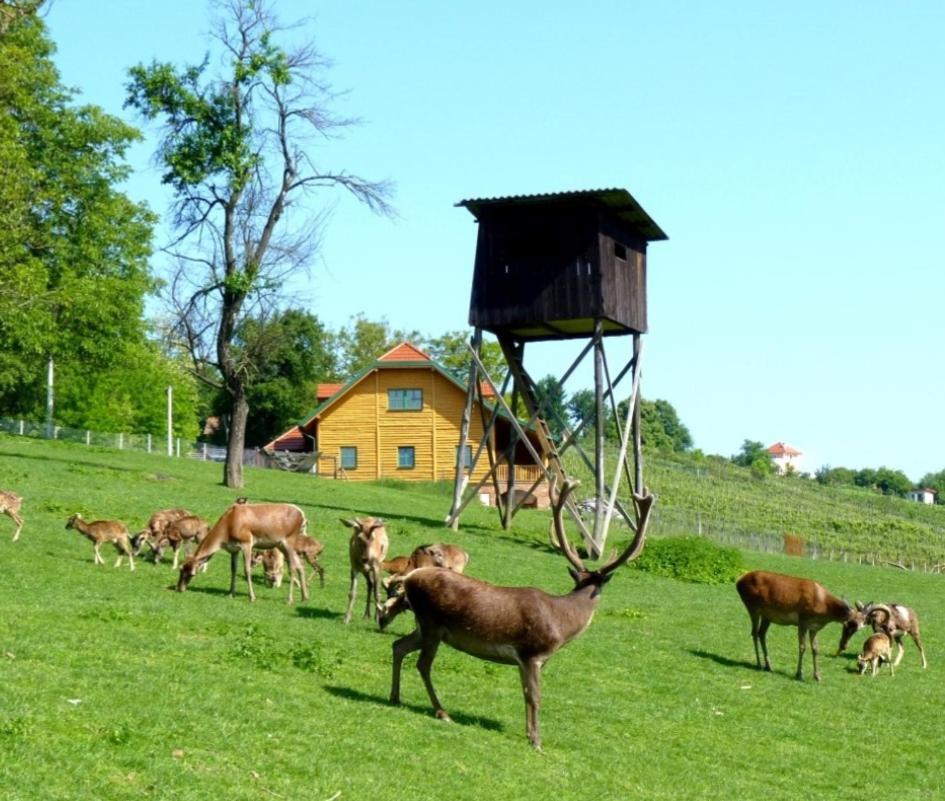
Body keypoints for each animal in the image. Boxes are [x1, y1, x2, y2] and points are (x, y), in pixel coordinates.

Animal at [177, 504, 310, 604]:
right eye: (180, 569)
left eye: (192, 574)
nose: (179, 588)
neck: (227, 529)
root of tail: (303, 516)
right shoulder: (234, 549)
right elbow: (233, 569)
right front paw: (231, 593)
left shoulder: (247, 542)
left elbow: (247, 570)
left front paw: (252, 597)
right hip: (282, 545)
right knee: (300, 565)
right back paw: (305, 597)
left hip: (289, 541)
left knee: (292, 567)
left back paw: (290, 599)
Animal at [388, 482, 652, 752]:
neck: (562, 624)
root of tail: (409, 578)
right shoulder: (532, 653)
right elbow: (535, 696)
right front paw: (537, 741)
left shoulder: (524, 660)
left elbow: (524, 692)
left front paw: (528, 733)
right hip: (431, 622)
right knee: (422, 664)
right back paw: (442, 712)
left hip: (425, 627)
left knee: (398, 645)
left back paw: (395, 697)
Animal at [732, 568, 860, 680]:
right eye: (846, 624)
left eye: (857, 629)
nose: (843, 646)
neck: (823, 605)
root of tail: (738, 581)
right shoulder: (803, 621)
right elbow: (802, 647)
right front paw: (799, 674)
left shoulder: (815, 627)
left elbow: (815, 649)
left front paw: (817, 676)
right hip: (753, 607)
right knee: (754, 633)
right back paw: (759, 664)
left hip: (767, 616)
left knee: (761, 633)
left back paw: (769, 666)